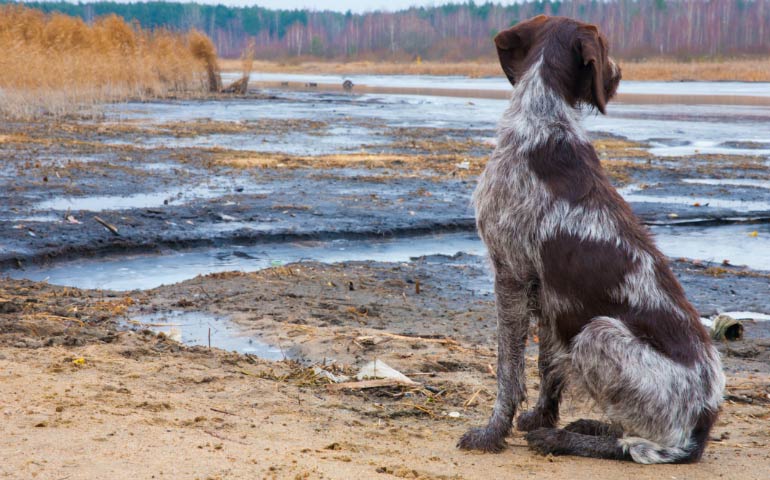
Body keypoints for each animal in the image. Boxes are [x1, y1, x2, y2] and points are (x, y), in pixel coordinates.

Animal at [460, 15, 724, 464]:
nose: (619, 73)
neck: (545, 122)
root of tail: (702, 425)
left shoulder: (511, 274)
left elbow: (508, 372)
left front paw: (493, 432)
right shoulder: (547, 295)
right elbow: (547, 366)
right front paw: (540, 416)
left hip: (596, 333)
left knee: (644, 445)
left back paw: (564, 439)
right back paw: (582, 427)